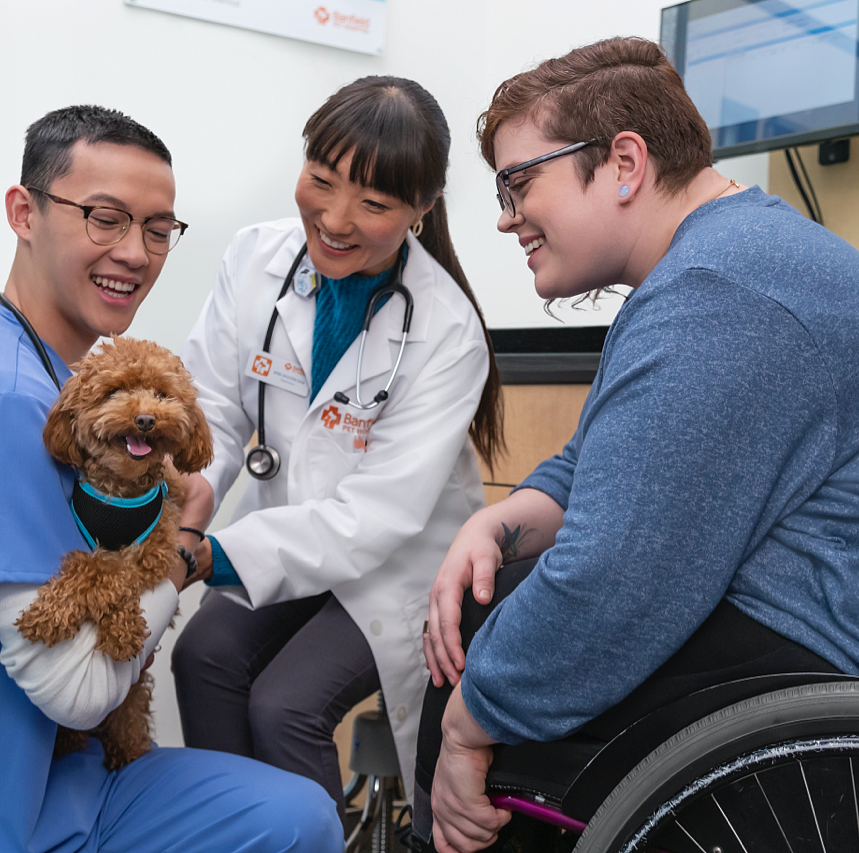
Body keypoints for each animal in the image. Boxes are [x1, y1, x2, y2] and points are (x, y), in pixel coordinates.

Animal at [15, 334, 213, 772]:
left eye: (162, 394)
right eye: (114, 391)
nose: (146, 420)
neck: (119, 491)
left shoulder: (156, 546)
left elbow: (110, 570)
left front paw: (122, 630)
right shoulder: (86, 535)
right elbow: (89, 564)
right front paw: (50, 611)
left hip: (133, 696)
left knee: (130, 710)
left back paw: (128, 751)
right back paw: (70, 742)